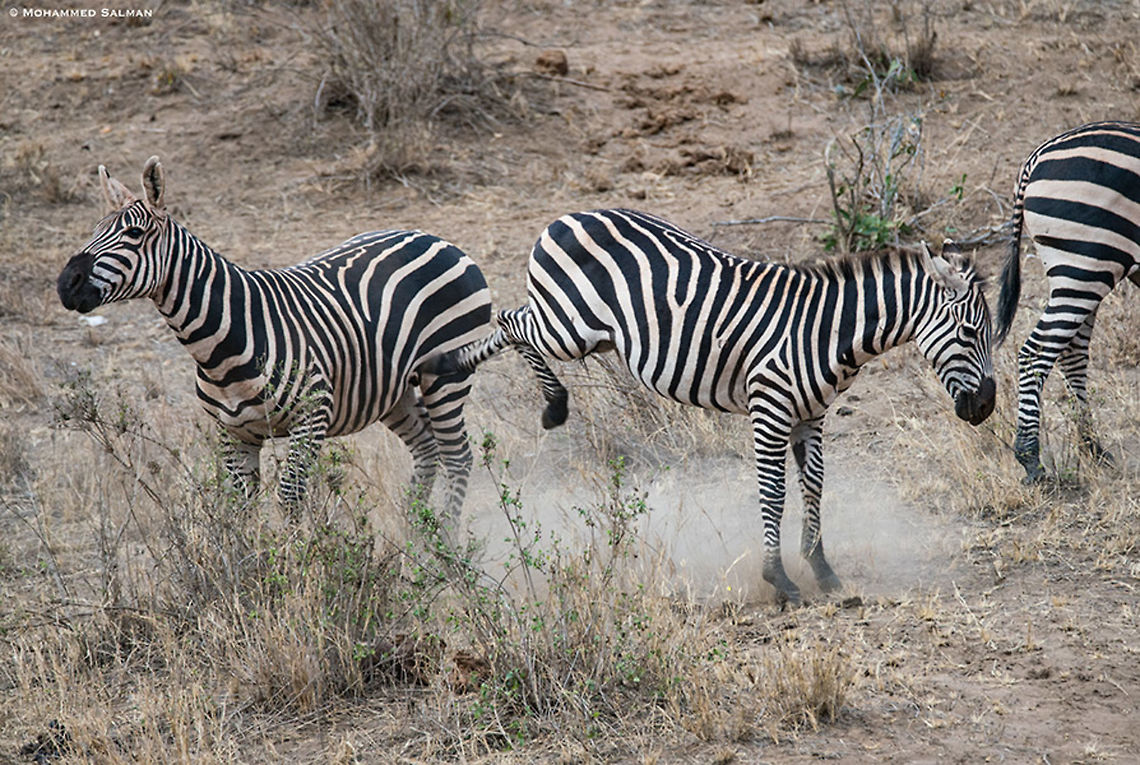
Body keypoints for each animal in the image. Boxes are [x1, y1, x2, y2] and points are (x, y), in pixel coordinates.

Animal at [57, 156, 491, 520]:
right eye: (94, 232)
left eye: (134, 233)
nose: (65, 284)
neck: (220, 344)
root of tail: (434, 237)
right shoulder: (233, 435)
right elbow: (240, 509)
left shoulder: (311, 418)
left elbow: (289, 500)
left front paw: (303, 562)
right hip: (393, 390)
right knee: (427, 449)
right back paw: (413, 533)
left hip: (446, 375)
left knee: (458, 457)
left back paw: (443, 546)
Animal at [431, 209, 996, 606]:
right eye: (971, 332)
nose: (987, 407)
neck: (826, 332)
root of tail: (563, 218)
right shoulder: (770, 408)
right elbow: (774, 494)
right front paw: (779, 580)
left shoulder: (811, 416)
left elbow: (814, 487)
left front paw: (822, 570)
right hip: (568, 328)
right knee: (510, 321)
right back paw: (550, 404)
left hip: (583, 329)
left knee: (509, 324)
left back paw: (446, 363)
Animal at [996, 121, 1140, 483]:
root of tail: (1037, 156)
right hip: (1085, 266)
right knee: (1037, 353)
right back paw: (1031, 459)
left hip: (1079, 271)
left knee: (1071, 352)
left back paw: (1092, 448)